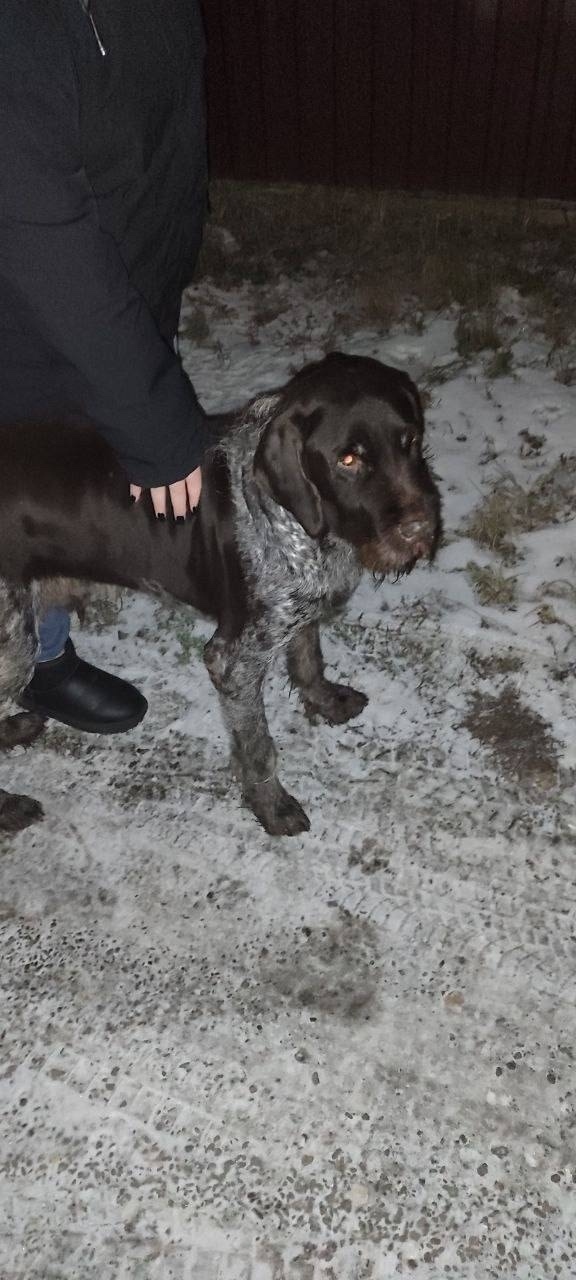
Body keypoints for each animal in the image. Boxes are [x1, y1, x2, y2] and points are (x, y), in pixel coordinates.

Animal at [0, 352, 441, 836]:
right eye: (348, 460)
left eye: (410, 440)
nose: (422, 530)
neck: (297, 520)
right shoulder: (234, 660)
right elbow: (258, 747)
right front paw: (272, 807)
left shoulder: (299, 606)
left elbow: (308, 658)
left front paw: (326, 701)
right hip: (14, 641)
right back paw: (8, 808)